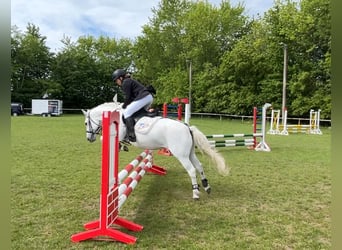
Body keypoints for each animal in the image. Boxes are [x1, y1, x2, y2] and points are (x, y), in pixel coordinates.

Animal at [81, 96, 228, 198]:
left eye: (86, 123)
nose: (89, 138)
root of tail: (187, 127)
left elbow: (104, 139)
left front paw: (122, 147)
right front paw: (122, 147)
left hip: (181, 155)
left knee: (191, 170)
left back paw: (196, 192)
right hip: (190, 153)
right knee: (199, 166)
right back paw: (206, 187)